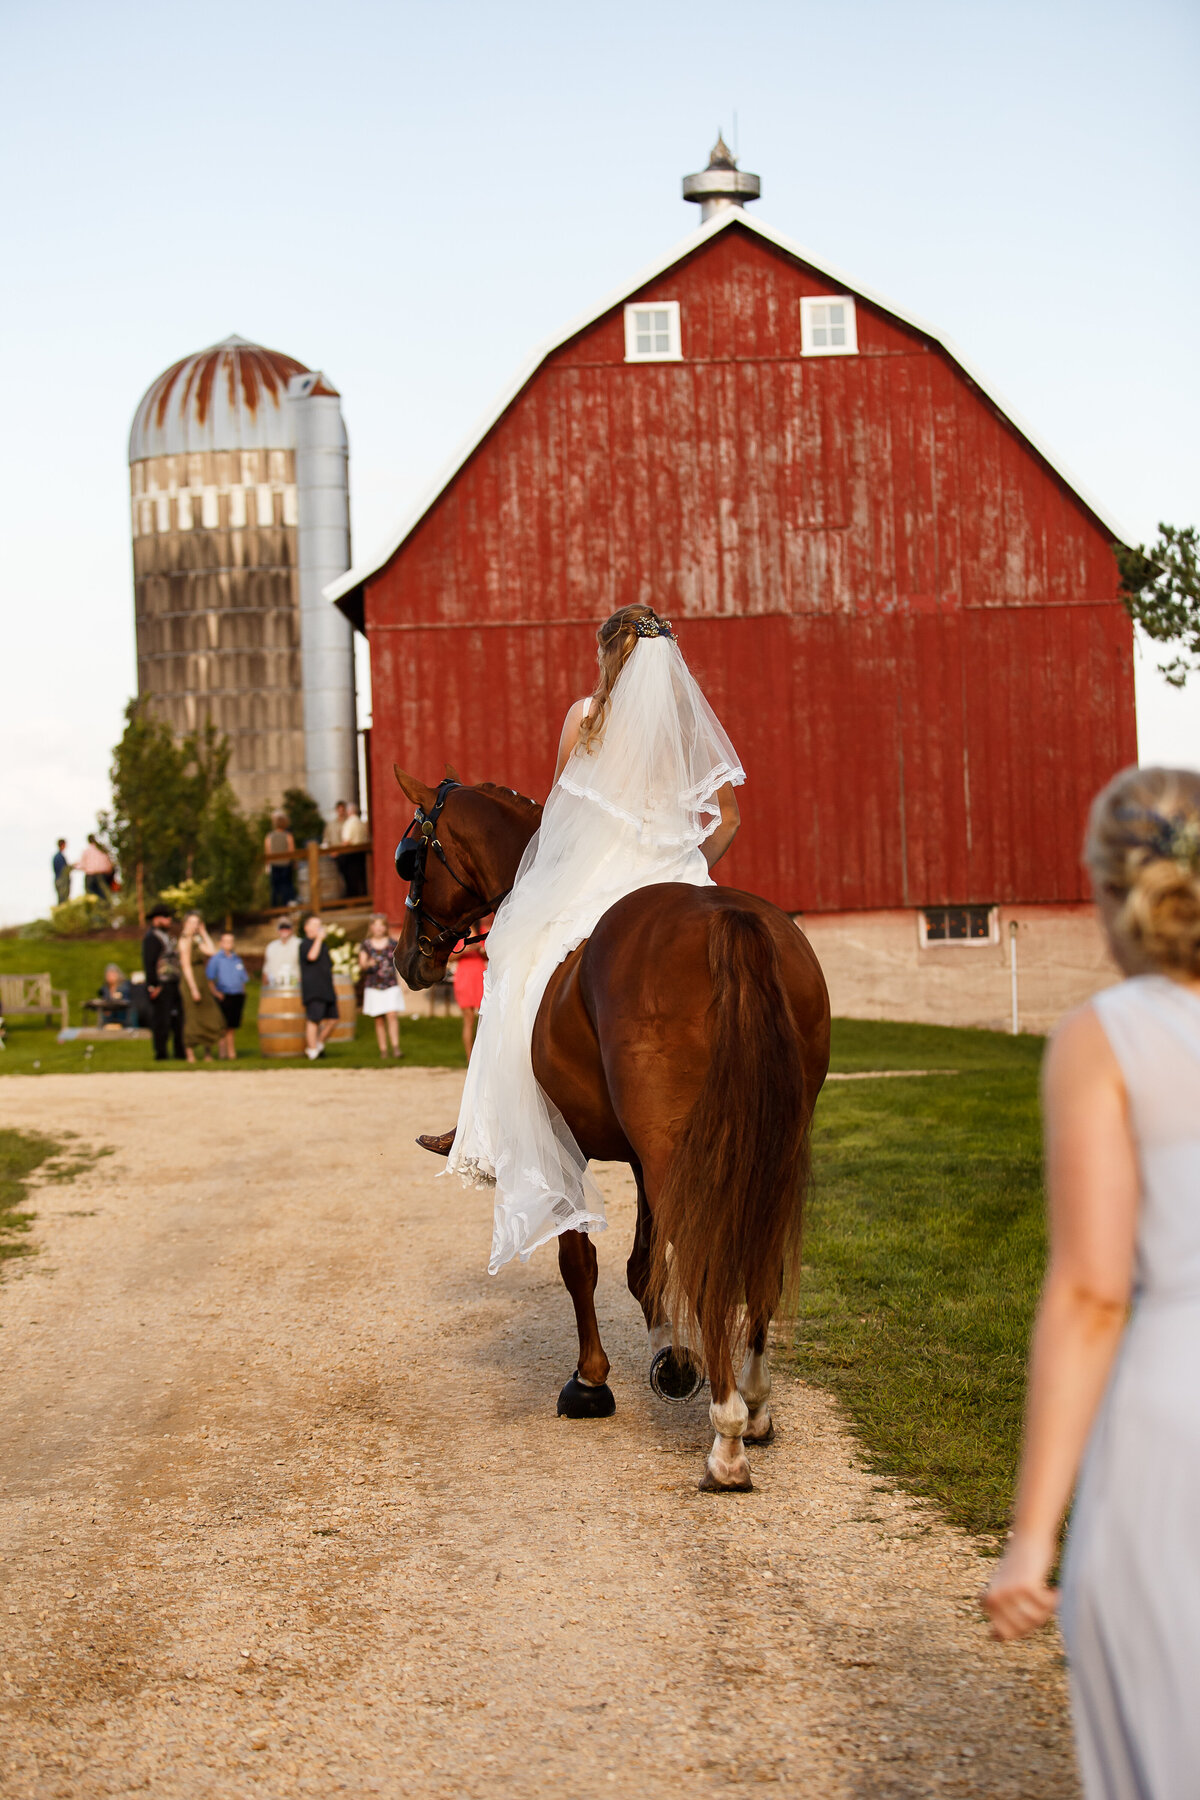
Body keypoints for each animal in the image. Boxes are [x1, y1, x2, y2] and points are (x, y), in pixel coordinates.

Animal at [390, 770, 831, 1490]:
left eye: (412, 858)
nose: (407, 958)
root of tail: (726, 920)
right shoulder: (644, 1157)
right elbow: (644, 1264)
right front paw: (671, 1359)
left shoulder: (562, 1144)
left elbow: (580, 1261)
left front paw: (591, 1381)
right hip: (761, 1148)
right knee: (755, 1260)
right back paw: (756, 1404)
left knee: (710, 1263)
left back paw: (728, 1438)